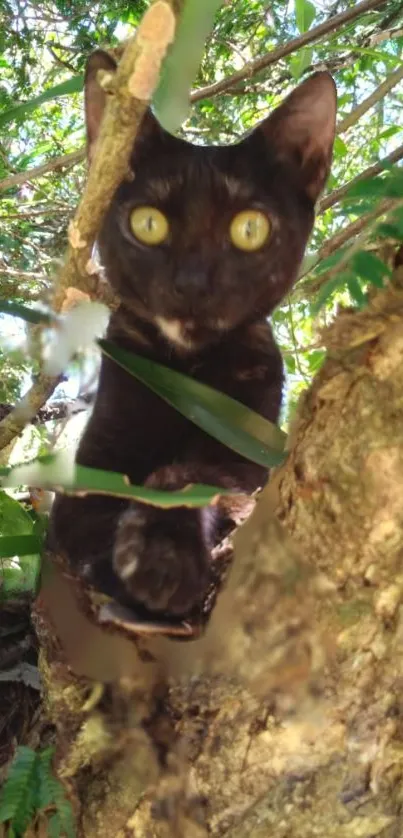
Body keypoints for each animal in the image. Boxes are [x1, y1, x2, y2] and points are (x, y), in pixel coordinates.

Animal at [47, 50, 338, 616]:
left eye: (250, 229)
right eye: (148, 223)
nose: (192, 283)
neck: (186, 372)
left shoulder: (245, 456)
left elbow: (193, 476)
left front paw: (160, 555)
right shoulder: (91, 464)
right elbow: (86, 519)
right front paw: (128, 564)